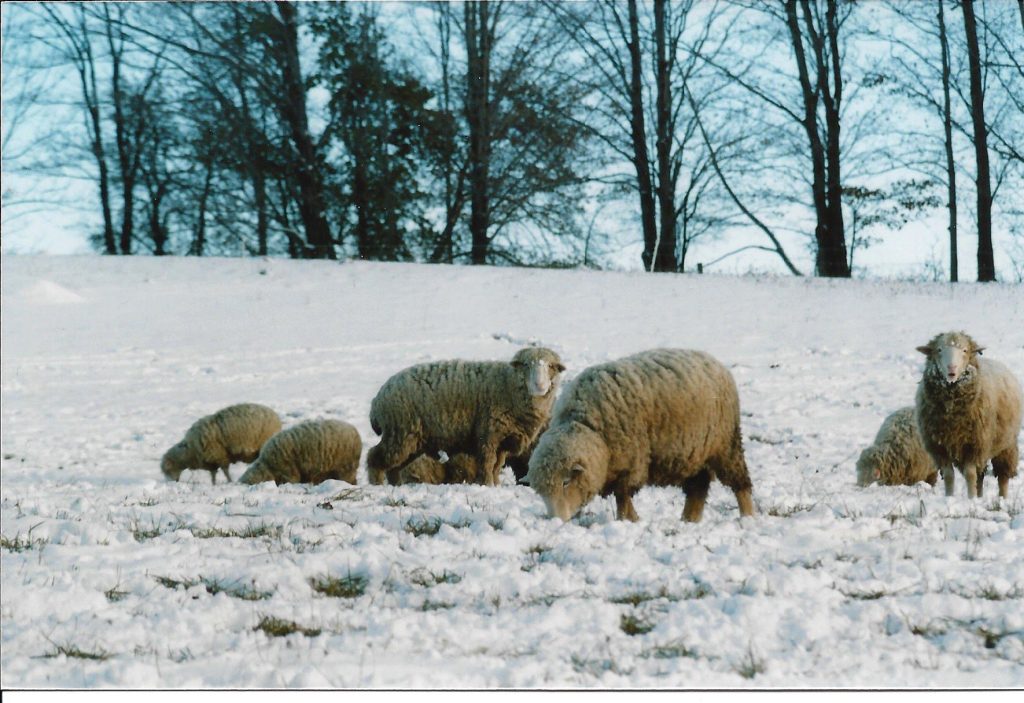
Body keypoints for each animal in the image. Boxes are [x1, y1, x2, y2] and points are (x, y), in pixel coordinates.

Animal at [367, 347, 565, 487]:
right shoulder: (488, 435)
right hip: (399, 433)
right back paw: (377, 484)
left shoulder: (503, 440)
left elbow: (496, 466)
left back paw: (396, 485)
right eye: (525, 365)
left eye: (551, 366)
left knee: (394, 466)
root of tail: (377, 400)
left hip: (410, 440)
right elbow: (488, 463)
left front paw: (496, 485)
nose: (540, 385)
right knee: (375, 457)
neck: (507, 385)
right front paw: (487, 485)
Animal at [524, 348, 754, 523]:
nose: (556, 521)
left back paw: (748, 516)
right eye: (540, 492)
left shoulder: (632, 463)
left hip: (726, 444)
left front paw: (628, 520)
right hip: (695, 452)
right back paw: (689, 520)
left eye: (565, 482)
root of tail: (714, 361)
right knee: (698, 487)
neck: (589, 427)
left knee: (739, 483)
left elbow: (622, 496)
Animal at [915, 331, 1022, 499]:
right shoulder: (940, 447)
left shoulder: (974, 444)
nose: (951, 369)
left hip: (1006, 444)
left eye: (965, 350)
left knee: (1002, 475)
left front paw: (970, 498)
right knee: (980, 476)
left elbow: (970, 475)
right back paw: (979, 496)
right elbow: (949, 475)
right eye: (939, 350)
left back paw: (1002, 498)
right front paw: (949, 497)